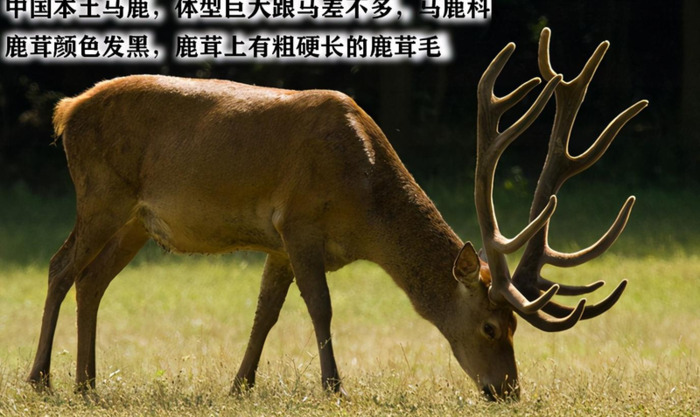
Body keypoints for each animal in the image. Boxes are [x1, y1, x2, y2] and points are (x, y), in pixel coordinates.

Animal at [27, 28, 647, 401]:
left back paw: (87, 384)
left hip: (136, 219)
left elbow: (265, 314)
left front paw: (240, 385)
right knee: (60, 267)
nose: (508, 391)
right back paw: (41, 379)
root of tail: (65, 111)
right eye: (491, 326)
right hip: (100, 193)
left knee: (92, 279)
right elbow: (320, 309)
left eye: (517, 327)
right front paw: (333, 387)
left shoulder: (276, 241)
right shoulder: (298, 222)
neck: (365, 210)